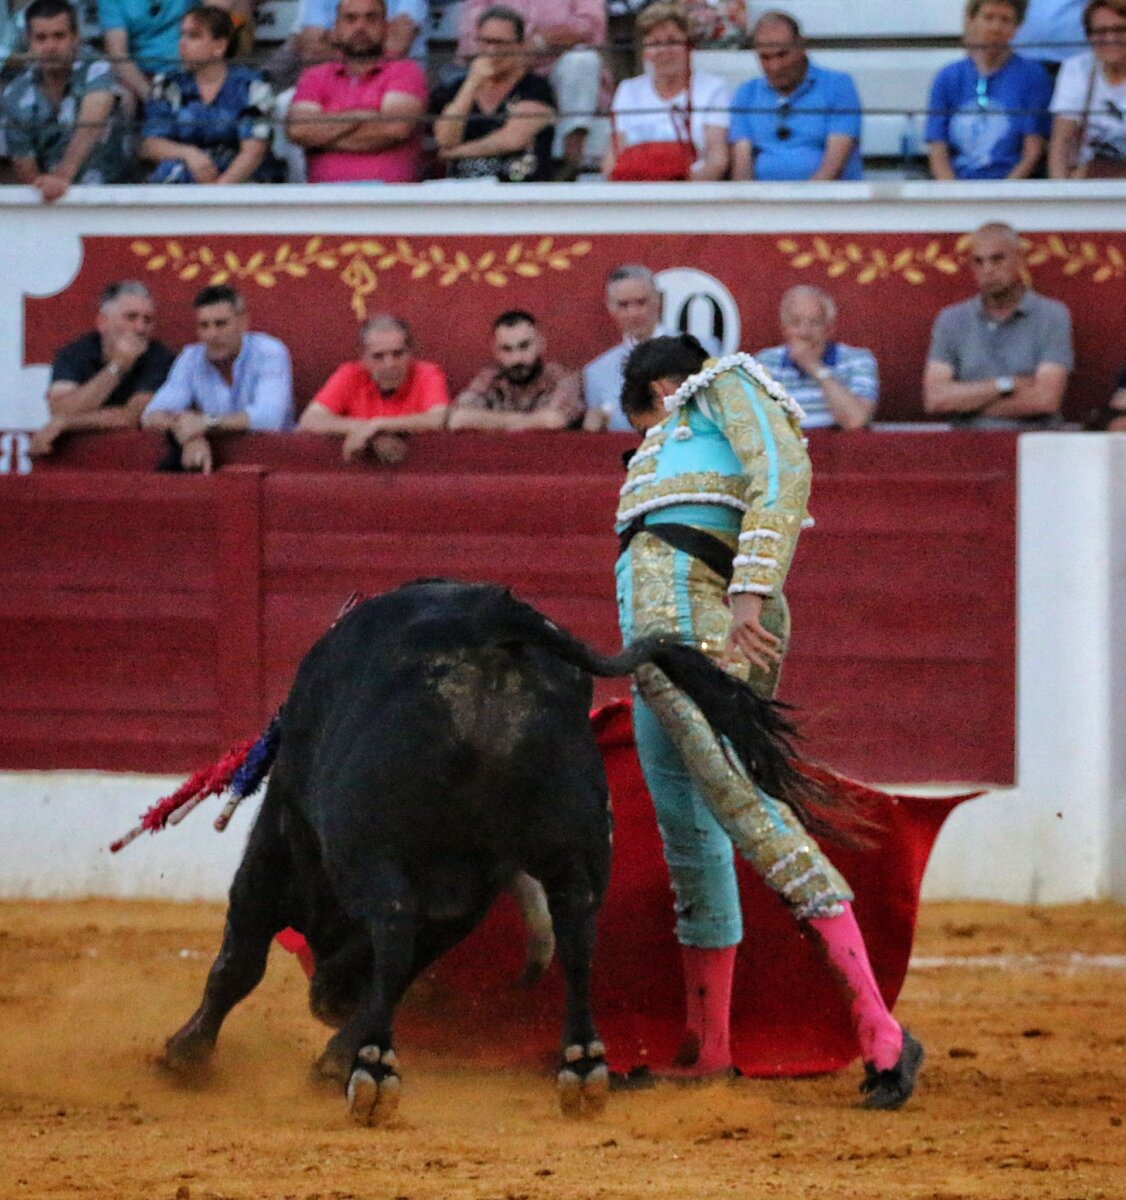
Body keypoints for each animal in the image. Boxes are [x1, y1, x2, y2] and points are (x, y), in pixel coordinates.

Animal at [161, 578, 829, 1124]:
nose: (326, 997)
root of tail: (491, 620)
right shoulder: (467, 897)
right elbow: (400, 966)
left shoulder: (278, 840)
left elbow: (241, 957)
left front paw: (185, 1053)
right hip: (576, 850)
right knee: (577, 937)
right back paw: (582, 1067)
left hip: (371, 847)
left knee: (393, 927)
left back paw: (372, 1071)